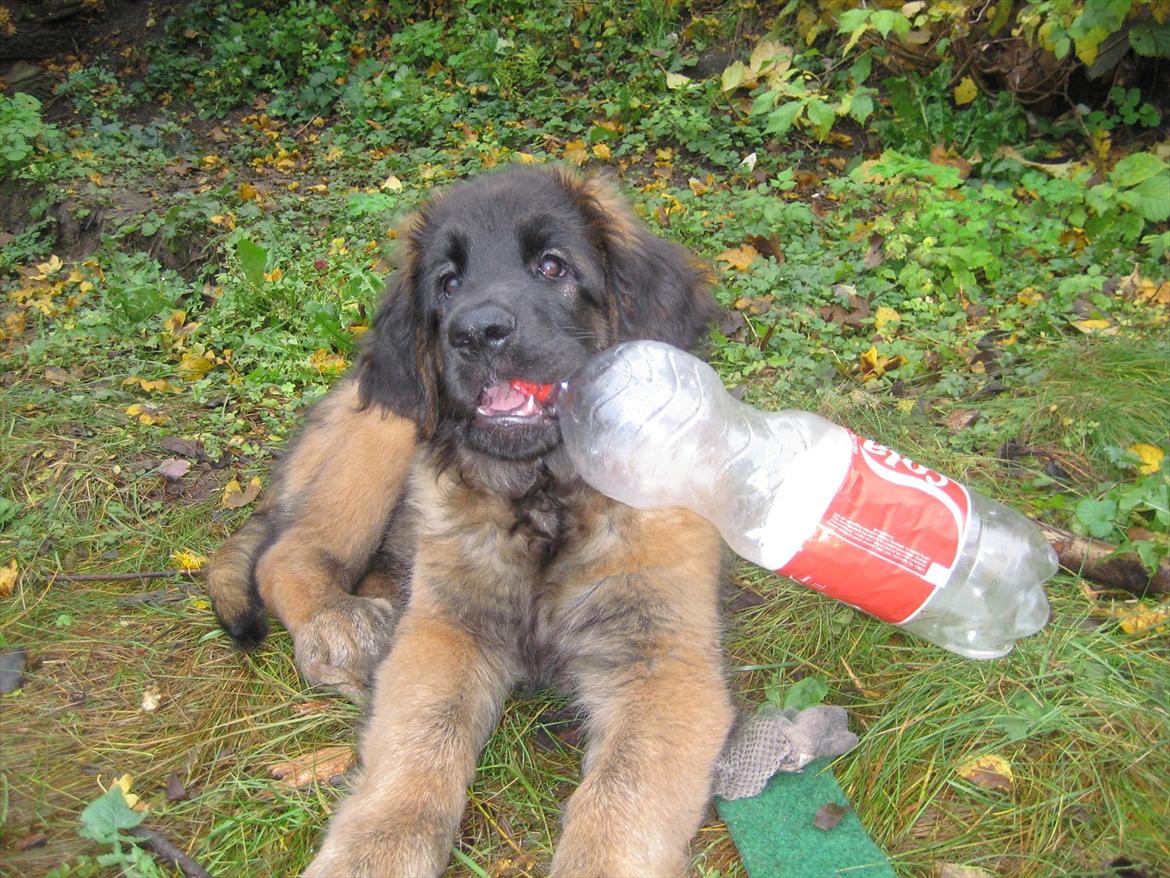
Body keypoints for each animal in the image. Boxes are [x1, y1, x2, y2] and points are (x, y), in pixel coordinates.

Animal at [203, 166, 730, 878]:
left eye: (553, 266)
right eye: (448, 284)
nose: (475, 332)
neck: (545, 498)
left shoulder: (663, 658)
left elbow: (623, 798)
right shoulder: (447, 629)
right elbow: (420, 744)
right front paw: (372, 855)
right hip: (386, 438)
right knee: (287, 553)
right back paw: (338, 624)